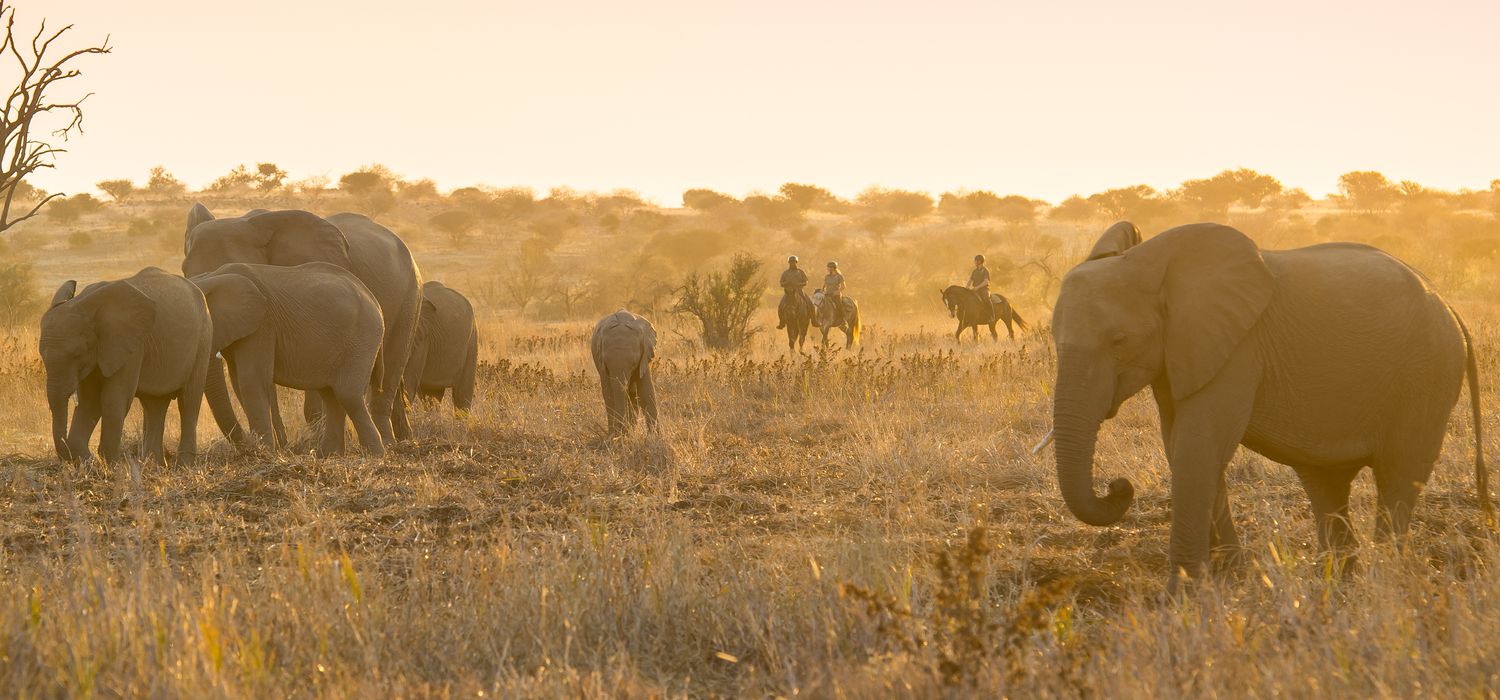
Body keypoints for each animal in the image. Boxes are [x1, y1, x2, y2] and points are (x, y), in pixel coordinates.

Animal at [39, 268, 213, 464]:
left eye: (77, 354)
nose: (89, 460)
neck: (84, 303)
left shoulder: (131, 346)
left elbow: (114, 399)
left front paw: (111, 465)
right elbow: (90, 401)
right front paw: (90, 463)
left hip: (203, 338)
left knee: (189, 400)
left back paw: (184, 465)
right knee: (155, 404)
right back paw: (153, 465)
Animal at [193, 263, 387, 461]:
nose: (248, 446)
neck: (212, 277)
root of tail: (374, 300)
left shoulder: (262, 326)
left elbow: (251, 380)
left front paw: (264, 453)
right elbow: (238, 382)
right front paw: (263, 451)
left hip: (362, 338)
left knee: (348, 394)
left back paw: (376, 455)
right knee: (331, 395)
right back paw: (328, 455)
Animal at [1044, 221, 1488, 590]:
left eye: (1119, 341)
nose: (1118, 485)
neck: (1149, 262)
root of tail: (1448, 306)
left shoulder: (1239, 347)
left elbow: (1198, 447)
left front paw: (1183, 594)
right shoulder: (1180, 354)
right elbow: (1181, 445)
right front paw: (1231, 579)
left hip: (1425, 378)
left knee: (1398, 476)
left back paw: (1382, 582)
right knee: (1326, 484)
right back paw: (1338, 585)